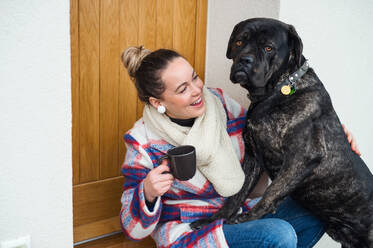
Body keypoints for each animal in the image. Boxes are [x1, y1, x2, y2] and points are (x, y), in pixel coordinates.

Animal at [192, 17, 372, 248]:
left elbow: (271, 192)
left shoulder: (302, 157)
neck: (280, 88)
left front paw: (246, 219)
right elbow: (237, 193)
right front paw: (214, 219)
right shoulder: (253, 157)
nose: (245, 60)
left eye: (268, 48)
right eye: (240, 42)